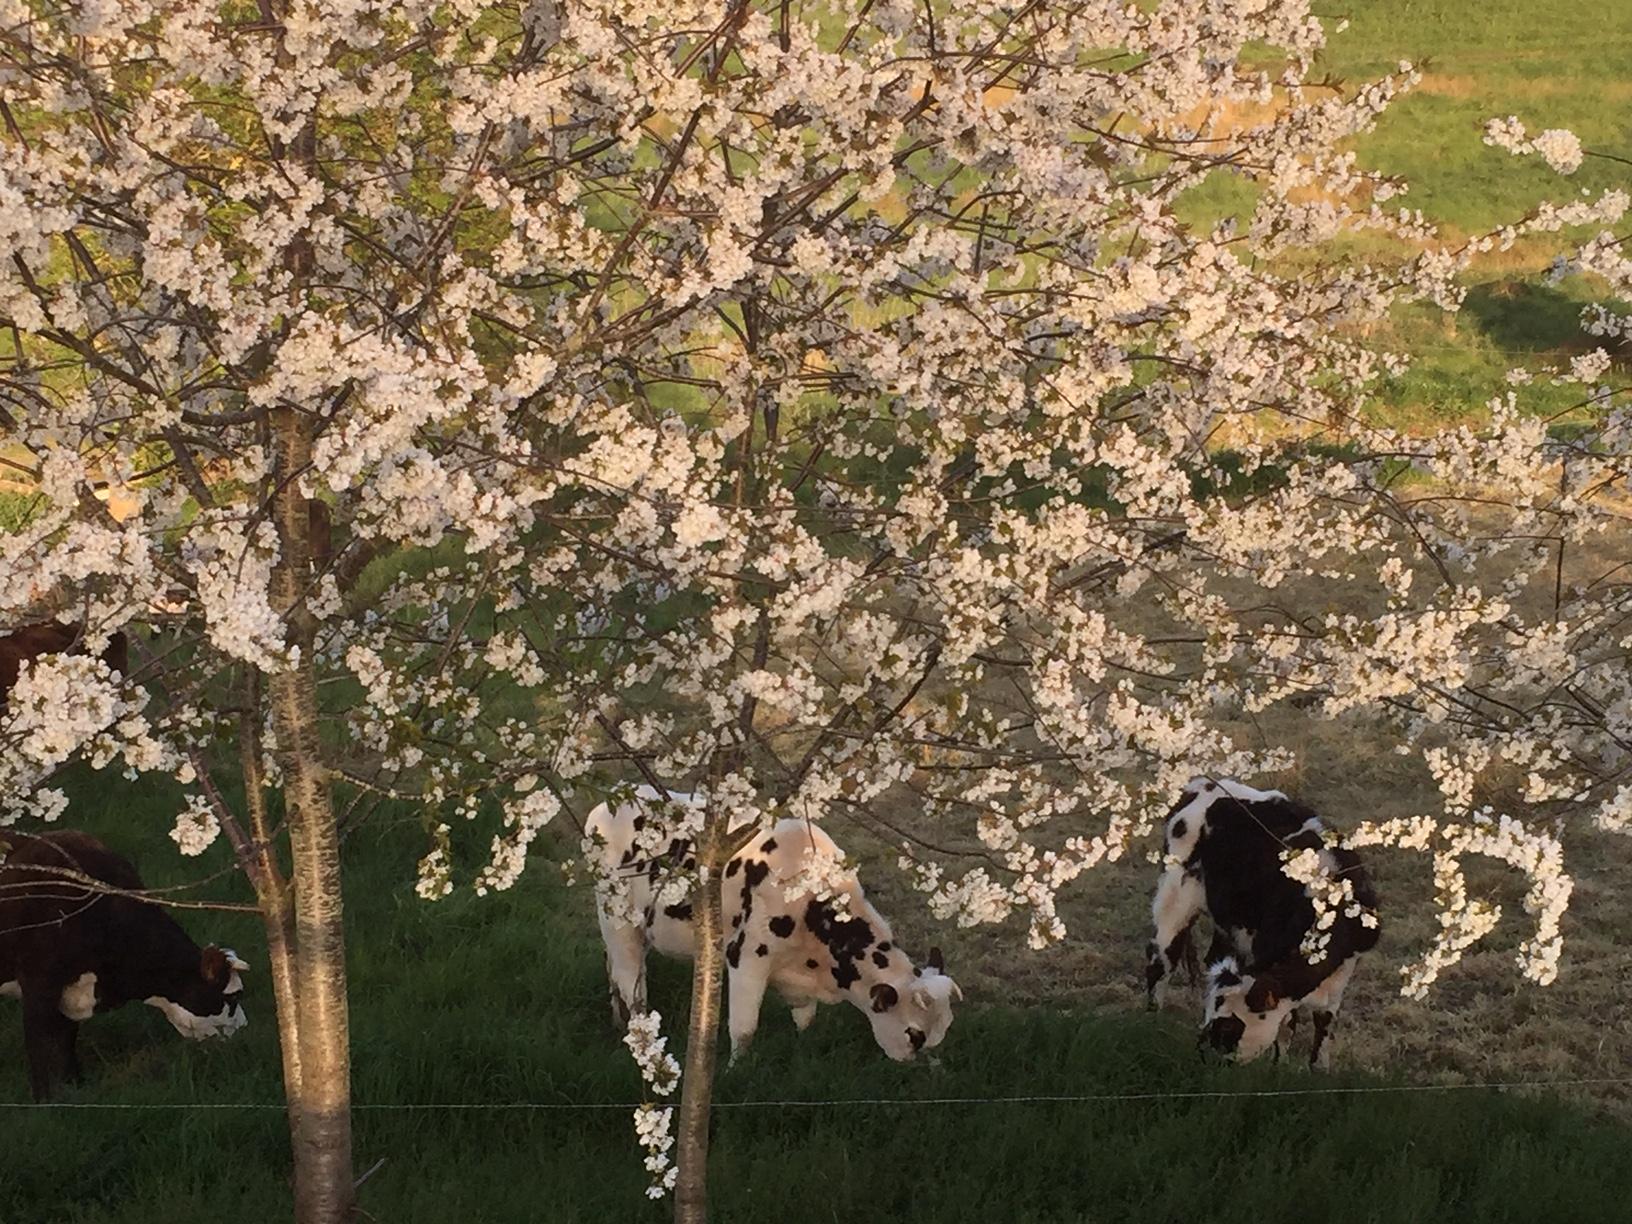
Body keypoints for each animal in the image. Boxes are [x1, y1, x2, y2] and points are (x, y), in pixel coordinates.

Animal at [0, 835, 248, 1103]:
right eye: (233, 997)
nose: (244, 1030)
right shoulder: (39, 984)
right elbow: (39, 1045)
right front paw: (43, 1100)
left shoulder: (72, 992)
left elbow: (66, 1042)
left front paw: (75, 1085)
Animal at [590, 789, 959, 1057]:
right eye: (914, 1034)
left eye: (944, 1030)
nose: (922, 1062)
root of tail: (607, 803)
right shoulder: (746, 958)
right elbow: (744, 1030)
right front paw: (736, 1070)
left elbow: (805, 1020)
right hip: (617, 917)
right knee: (630, 979)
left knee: (615, 967)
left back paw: (617, 1021)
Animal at [1142, 780, 1383, 1070]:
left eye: (1228, 1028)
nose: (1204, 1055)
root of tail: (1201, 784)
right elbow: (1287, 1027)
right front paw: (1277, 1069)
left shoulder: (1342, 974)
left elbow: (1323, 1026)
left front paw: (1319, 1070)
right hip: (1176, 894)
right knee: (1162, 959)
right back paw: (1152, 1021)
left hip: (1228, 920)